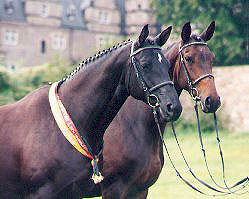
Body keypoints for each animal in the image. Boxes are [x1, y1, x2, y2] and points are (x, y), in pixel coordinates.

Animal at [96, 21, 221, 198]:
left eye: (212, 58)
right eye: (188, 58)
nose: (213, 100)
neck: (133, 124)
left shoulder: (140, 189)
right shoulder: (113, 189)